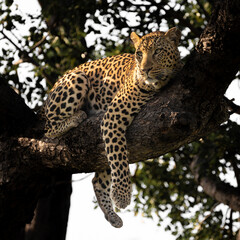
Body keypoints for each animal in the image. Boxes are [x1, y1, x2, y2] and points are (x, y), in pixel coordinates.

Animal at [42, 27, 182, 228]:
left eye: (158, 52)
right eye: (139, 54)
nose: (144, 70)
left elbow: (115, 157)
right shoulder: (113, 115)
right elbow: (119, 157)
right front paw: (122, 196)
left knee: (96, 179)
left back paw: (111, 215)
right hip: (77, 79)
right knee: (48, 128)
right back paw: (76, 117)